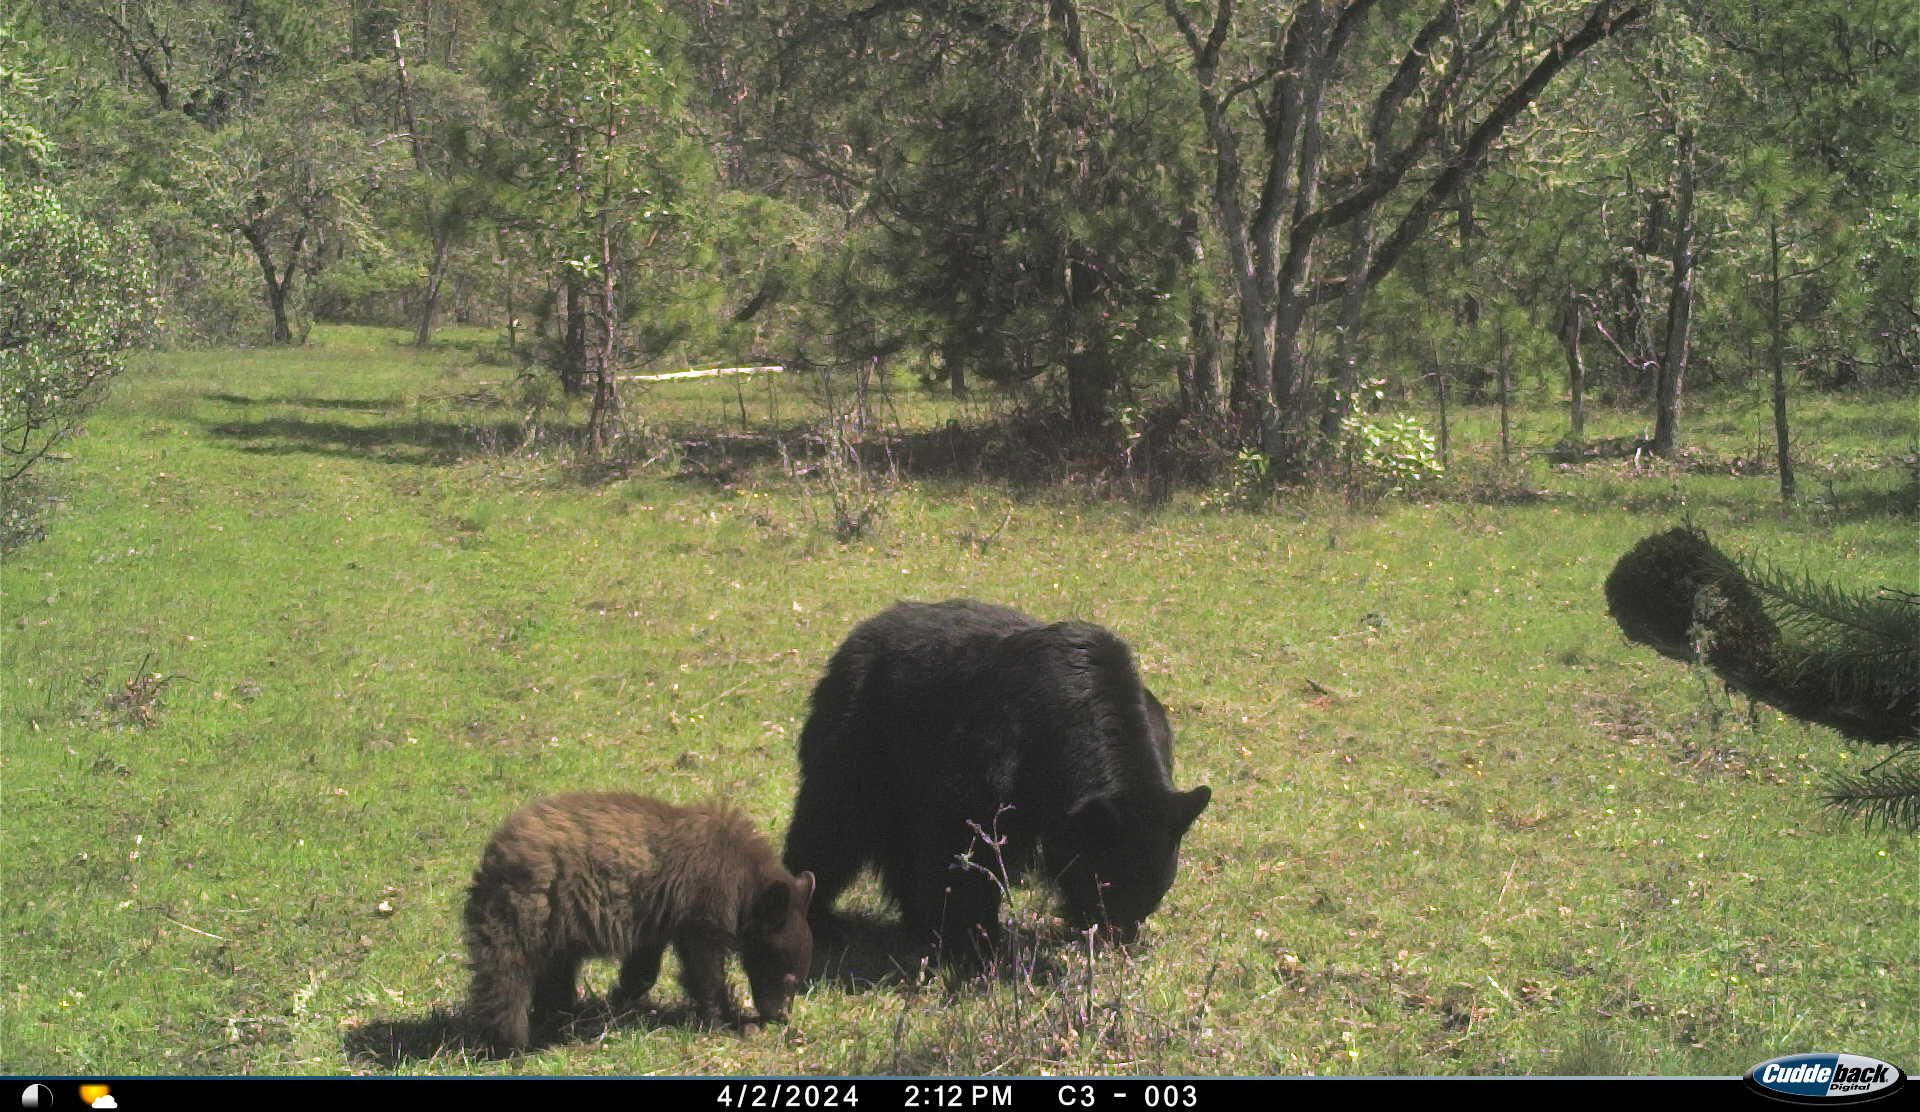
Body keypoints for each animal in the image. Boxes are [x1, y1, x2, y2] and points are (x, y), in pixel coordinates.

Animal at [463, 792, 815, 1053]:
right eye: (788, 976)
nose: (780, 1016)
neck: (744, 881)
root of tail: (494, 853)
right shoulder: (699, 910)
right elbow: (704, 968)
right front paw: (724, 1020)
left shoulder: (657, 916)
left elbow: (643, 967)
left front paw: (621, 998)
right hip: (526, 910)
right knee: (506, 972)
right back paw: (509, 1040)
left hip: (555, 927)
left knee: (554, 969)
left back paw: (560, 1017)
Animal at [783, 599, 1210, 959]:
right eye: (1107, 884)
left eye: (1157, 889)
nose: (1117, 939)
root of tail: (863, 630)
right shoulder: (995, 750)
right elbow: (965, 840)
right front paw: (974, 943)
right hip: (861, 737)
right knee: (833, 823)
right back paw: (817, 916)